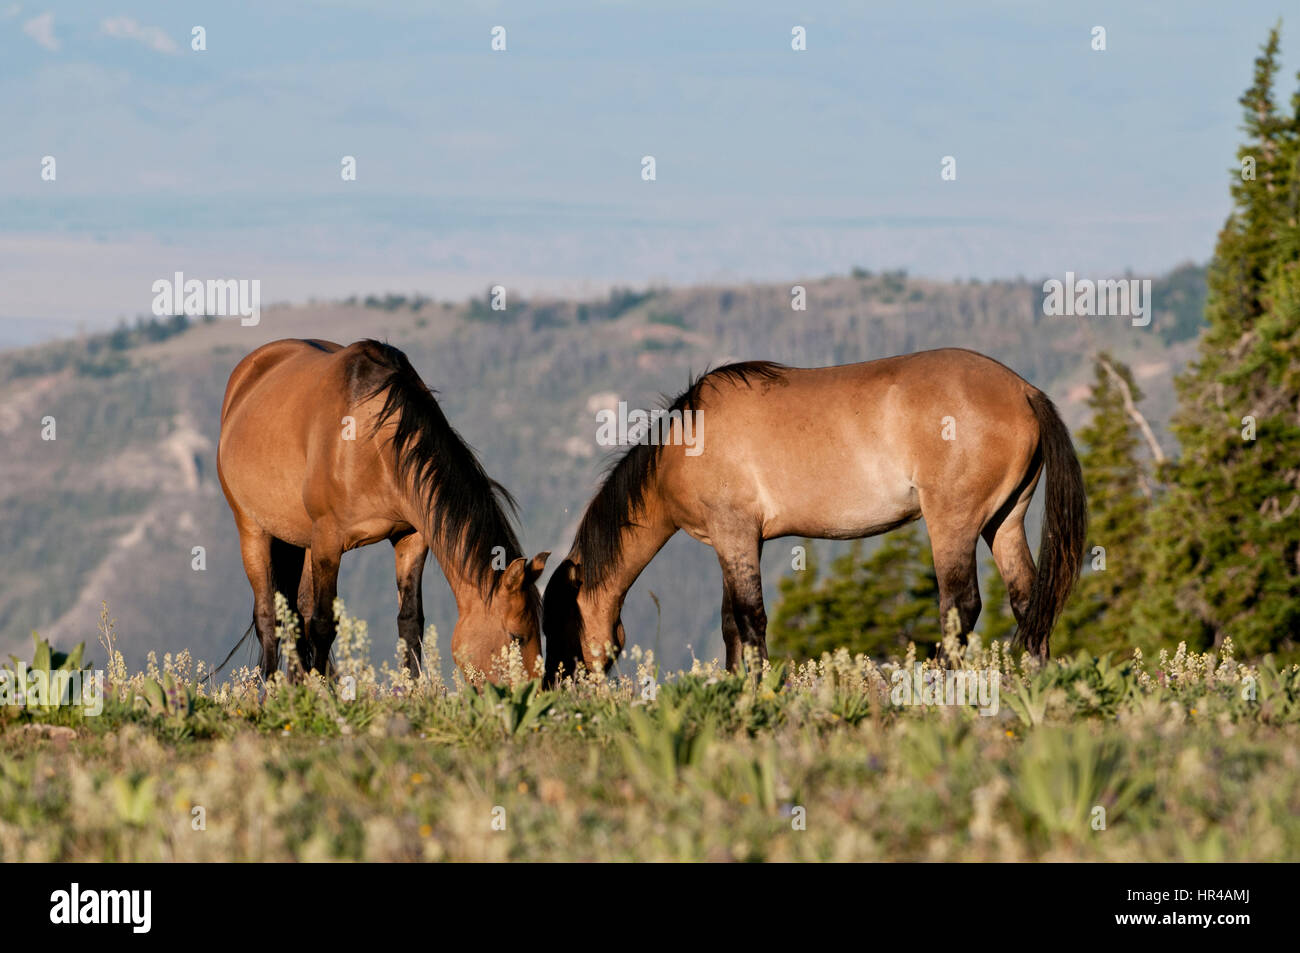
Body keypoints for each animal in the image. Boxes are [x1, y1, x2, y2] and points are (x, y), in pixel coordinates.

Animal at [218, 338, 548, 681]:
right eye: (516, 637)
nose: (534, 690)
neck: (373, 446)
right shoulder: (328, 541)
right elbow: (323, 624)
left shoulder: (411, 538)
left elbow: (410, 620)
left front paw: (411, 687)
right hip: (253, 531)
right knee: (269, 618)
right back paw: (272, 687)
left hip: (303, 541)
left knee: (298, 611)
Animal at [543, 345, 1092, 681]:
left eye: (558, 623)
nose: (555, 687)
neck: (687, 440)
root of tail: (1023, 391)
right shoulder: (734, 540)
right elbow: (731, 625)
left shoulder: (735, 533)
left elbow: (751, 620)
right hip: (1004, 522)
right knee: (1029, 601)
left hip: (952, 523)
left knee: (961, 607)